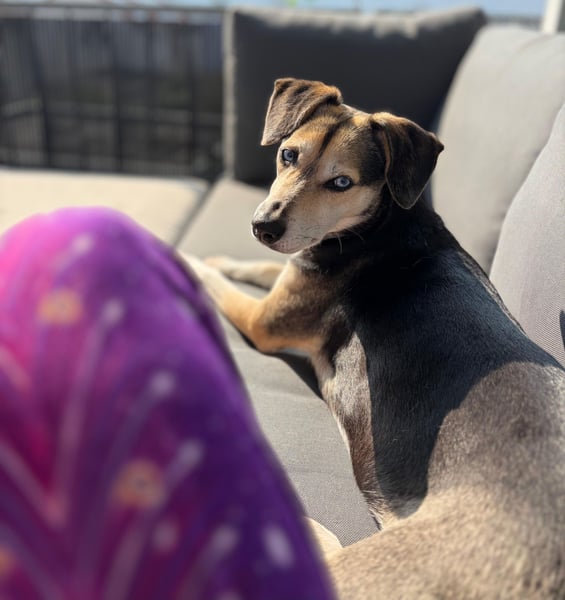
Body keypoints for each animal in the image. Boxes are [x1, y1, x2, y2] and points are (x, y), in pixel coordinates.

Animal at [185, 78, 565, 599]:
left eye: (342, 183)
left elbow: (216, 283)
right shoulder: (295, 272)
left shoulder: (265, 320)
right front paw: (225, 258)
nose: (263, 226)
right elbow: (259, 267)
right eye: (287, 155)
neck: (381, 221)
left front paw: (187, 258)